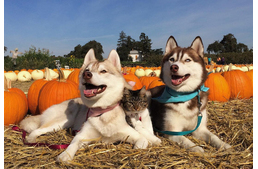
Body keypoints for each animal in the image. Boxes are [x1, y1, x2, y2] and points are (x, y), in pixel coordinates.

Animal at [19, 48, 149, 162]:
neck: (102, 112)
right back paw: (31, 139)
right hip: (60, 122)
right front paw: (65, 155)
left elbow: (142, 142)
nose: (87, 74)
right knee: (38, 130)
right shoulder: (81, 135)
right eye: (87, 69)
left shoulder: (135, 135)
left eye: (103, 71)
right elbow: (73, 144)